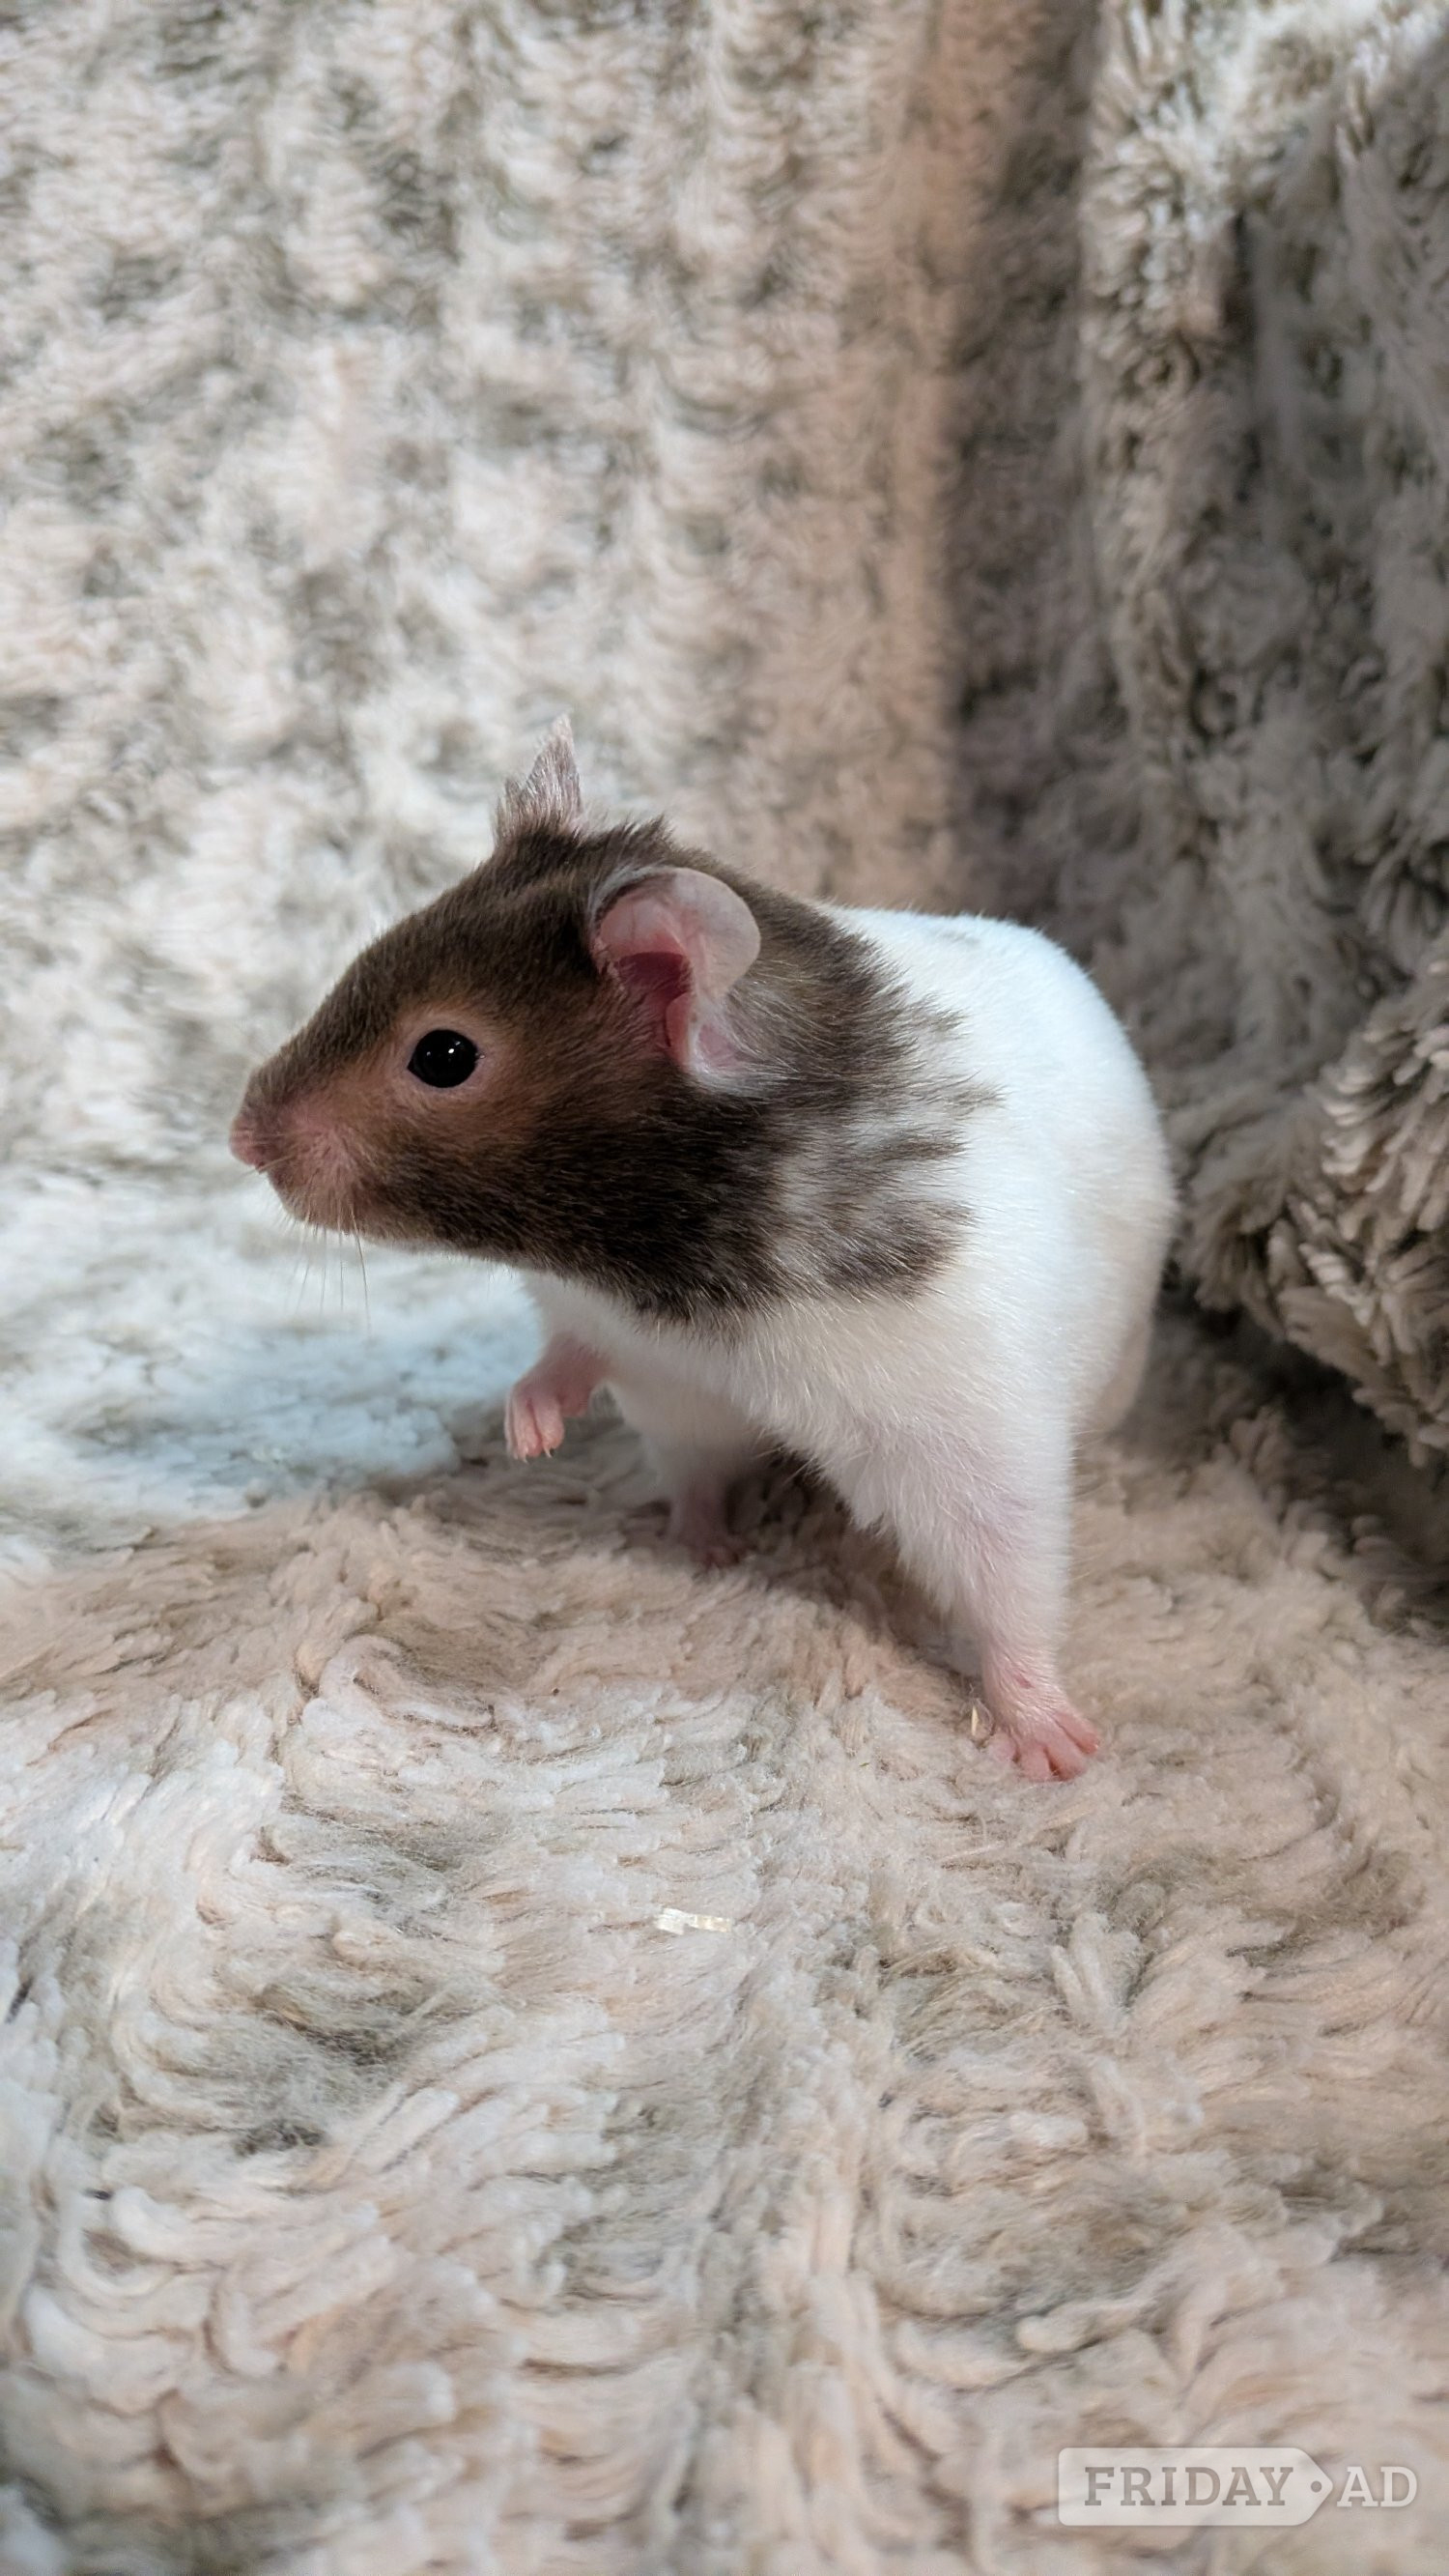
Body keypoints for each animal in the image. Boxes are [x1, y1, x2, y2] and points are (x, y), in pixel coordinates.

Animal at [232, 720, 1175, 1781]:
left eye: (443, 1055)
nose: (239, 1137)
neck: (651, 1253)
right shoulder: (634, 1349)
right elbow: (566, 1356)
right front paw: (533, 1432)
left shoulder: (970, 1436)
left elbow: (1008, 1583)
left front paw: (1051, 1748)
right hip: (684, 1417)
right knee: (696, 1471)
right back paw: (701, 1547)